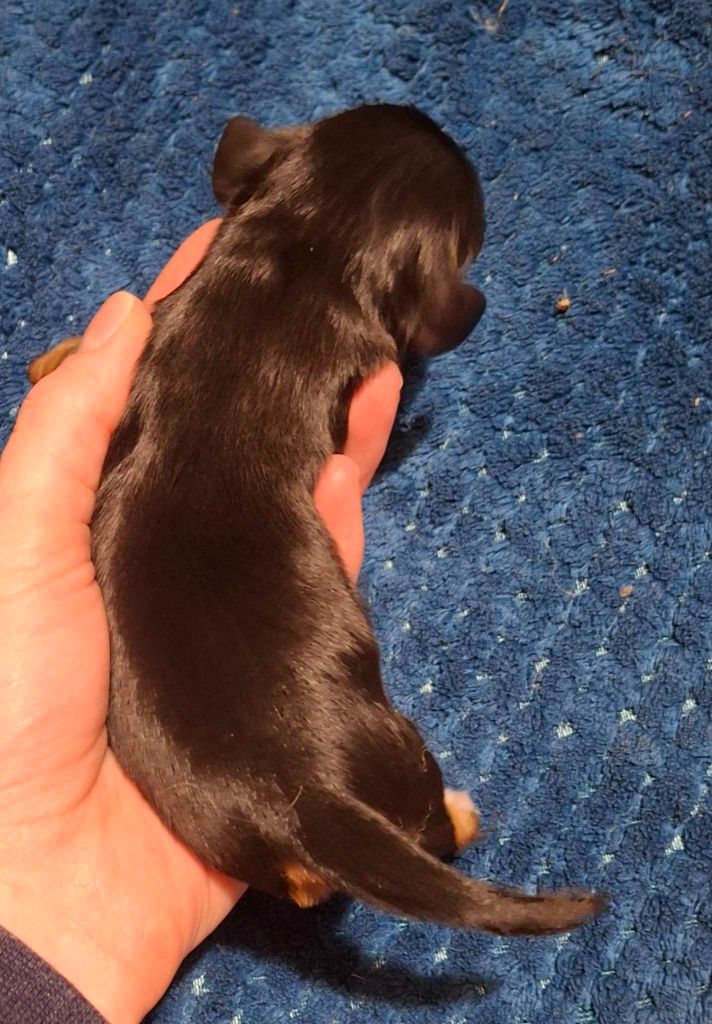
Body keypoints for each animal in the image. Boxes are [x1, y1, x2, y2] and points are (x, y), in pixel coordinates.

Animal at [31, 105, 604, 935]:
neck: (299, 250)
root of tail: (298, 800)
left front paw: (56, 356)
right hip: (403, 753)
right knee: (432, 825)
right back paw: (461, 813)